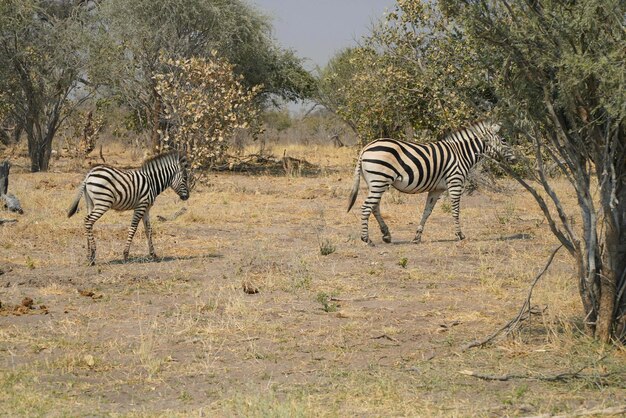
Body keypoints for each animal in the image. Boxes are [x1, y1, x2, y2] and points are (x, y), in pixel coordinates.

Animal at [344, 120, 516, 245]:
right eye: (504, 141)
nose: (516, 159)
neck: (461, 153)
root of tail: (365, 148)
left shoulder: (436, 189)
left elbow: (427, 211)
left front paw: (417, 237)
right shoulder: (455, 182)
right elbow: (455, 210)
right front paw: (459, 235)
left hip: (375, 182)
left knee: (374, 207)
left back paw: (386, 235)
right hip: (380, 180)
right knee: (366, 207)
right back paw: (367, 239)